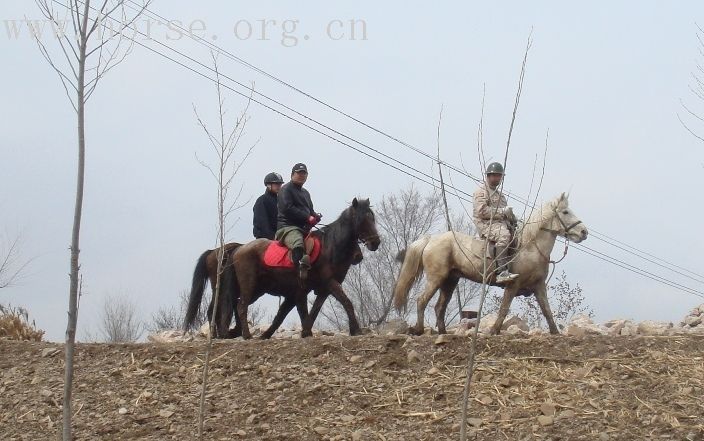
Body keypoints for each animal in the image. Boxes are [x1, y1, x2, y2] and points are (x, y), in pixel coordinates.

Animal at [232, 198, 382, 338]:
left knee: (239, 304)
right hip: (250, 285)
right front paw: (356, 330)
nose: (375, 243)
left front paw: (306, 332)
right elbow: (346, 302)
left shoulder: (322, 289)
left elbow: (313, 311)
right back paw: (247, 335)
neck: (330, 247)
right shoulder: (328, 282)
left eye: (372, 218)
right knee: (242, 306)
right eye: (362, 220)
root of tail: (240, 249)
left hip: (259, 289)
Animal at [394, 192, 584, 334]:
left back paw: (443, 332)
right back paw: (418, 330)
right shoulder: (513, 285)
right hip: (436, 278)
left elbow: (546, 310)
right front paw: (493, 331)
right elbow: (504, 309)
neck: (530, 247)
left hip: (450, 281)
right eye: (565, 212)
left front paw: (555, 333)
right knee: (421, 300)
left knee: (439, 306)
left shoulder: (539, 286)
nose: (584, 232)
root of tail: (430, 240)